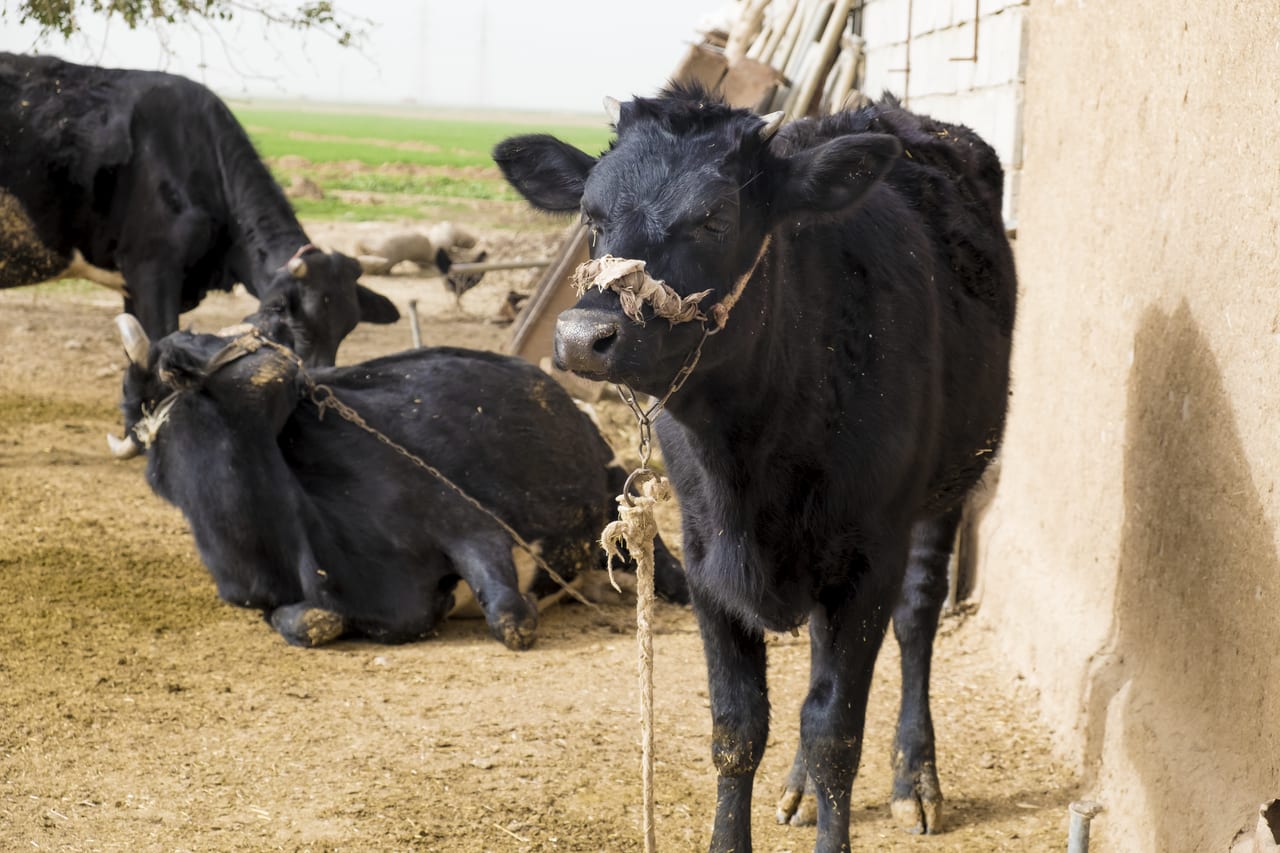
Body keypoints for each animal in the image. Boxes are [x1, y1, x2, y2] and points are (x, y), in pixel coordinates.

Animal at [0, 53, 400, 454]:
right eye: (294, 321)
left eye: (348, 327)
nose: (320, 385)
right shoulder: (153, 270)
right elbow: (160, 341)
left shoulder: (135, 286)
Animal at [114, 311, 689, 650]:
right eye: (186, 346)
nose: (270, 318)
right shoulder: (263, 600)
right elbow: (312, 622)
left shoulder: (468, 522)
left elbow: (511, 618)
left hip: (617, 487)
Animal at [494, 85, 1016, 851]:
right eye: (591, 213)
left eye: (715, 217)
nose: (584, 336)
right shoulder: (706, 560)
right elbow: (738, 728)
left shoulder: (869, 563)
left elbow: (836, 734)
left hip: (953, 483)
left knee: (916, 619)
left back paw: (916, 778)